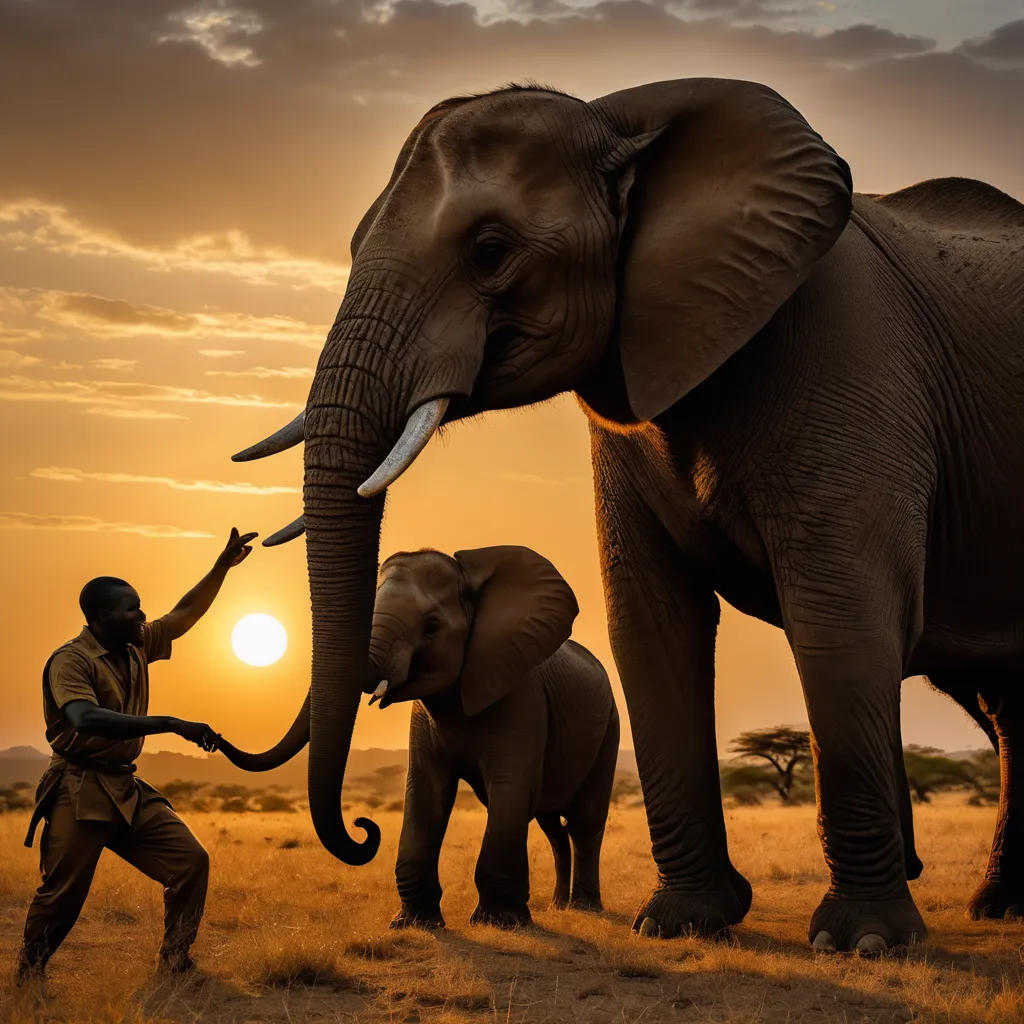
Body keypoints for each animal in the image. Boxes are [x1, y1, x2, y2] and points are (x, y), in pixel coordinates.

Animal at [220, 544, 619, 929]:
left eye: (431, 627)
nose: (364, 825)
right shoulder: (424, 719)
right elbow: (426, 791)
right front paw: (413, 923)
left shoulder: (521, 697)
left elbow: (511, 787)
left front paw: (500, 922)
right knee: (551, 825)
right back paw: (559, 904)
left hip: (610, 729)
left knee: (584, 821)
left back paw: (584, 907)